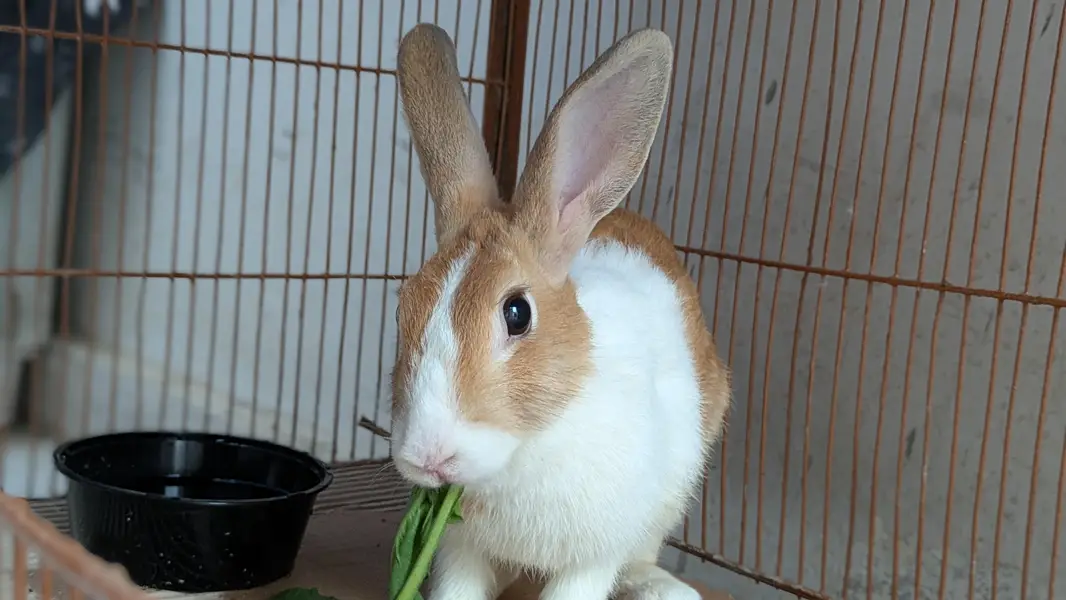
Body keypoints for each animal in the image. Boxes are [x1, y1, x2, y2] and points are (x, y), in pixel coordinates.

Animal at [389, 23, 731, 600]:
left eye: (517, 313)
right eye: (402, 308)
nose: (429, 458)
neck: (523, 451)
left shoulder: (595, 552)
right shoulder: (461, 549)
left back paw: (661, 585)